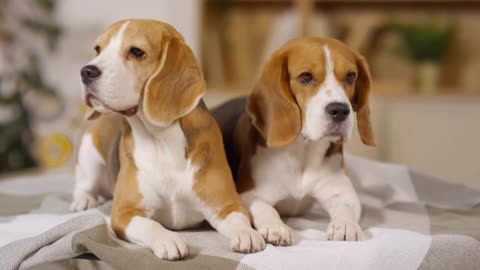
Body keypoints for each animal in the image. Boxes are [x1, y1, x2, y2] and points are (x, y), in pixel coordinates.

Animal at [71, 19, 264, 260]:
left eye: (137, 52)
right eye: (98, 49)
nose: (86, 71)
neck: (159, 139)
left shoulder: (226, 205)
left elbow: (240, 220)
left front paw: (247, 233)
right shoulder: (124, 213)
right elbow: (150, 225)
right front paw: (168, 239)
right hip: (89, 152)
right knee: (84, 183)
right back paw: (84, 200)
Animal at [225, 37, 376, 247]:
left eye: (350, 77)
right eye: (306, 76)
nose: (340, 110)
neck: (303, 150)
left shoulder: (342, 192)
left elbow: (345, 208)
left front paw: (345, 225)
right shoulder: (250, 193)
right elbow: (266, 209)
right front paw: (277, 227)